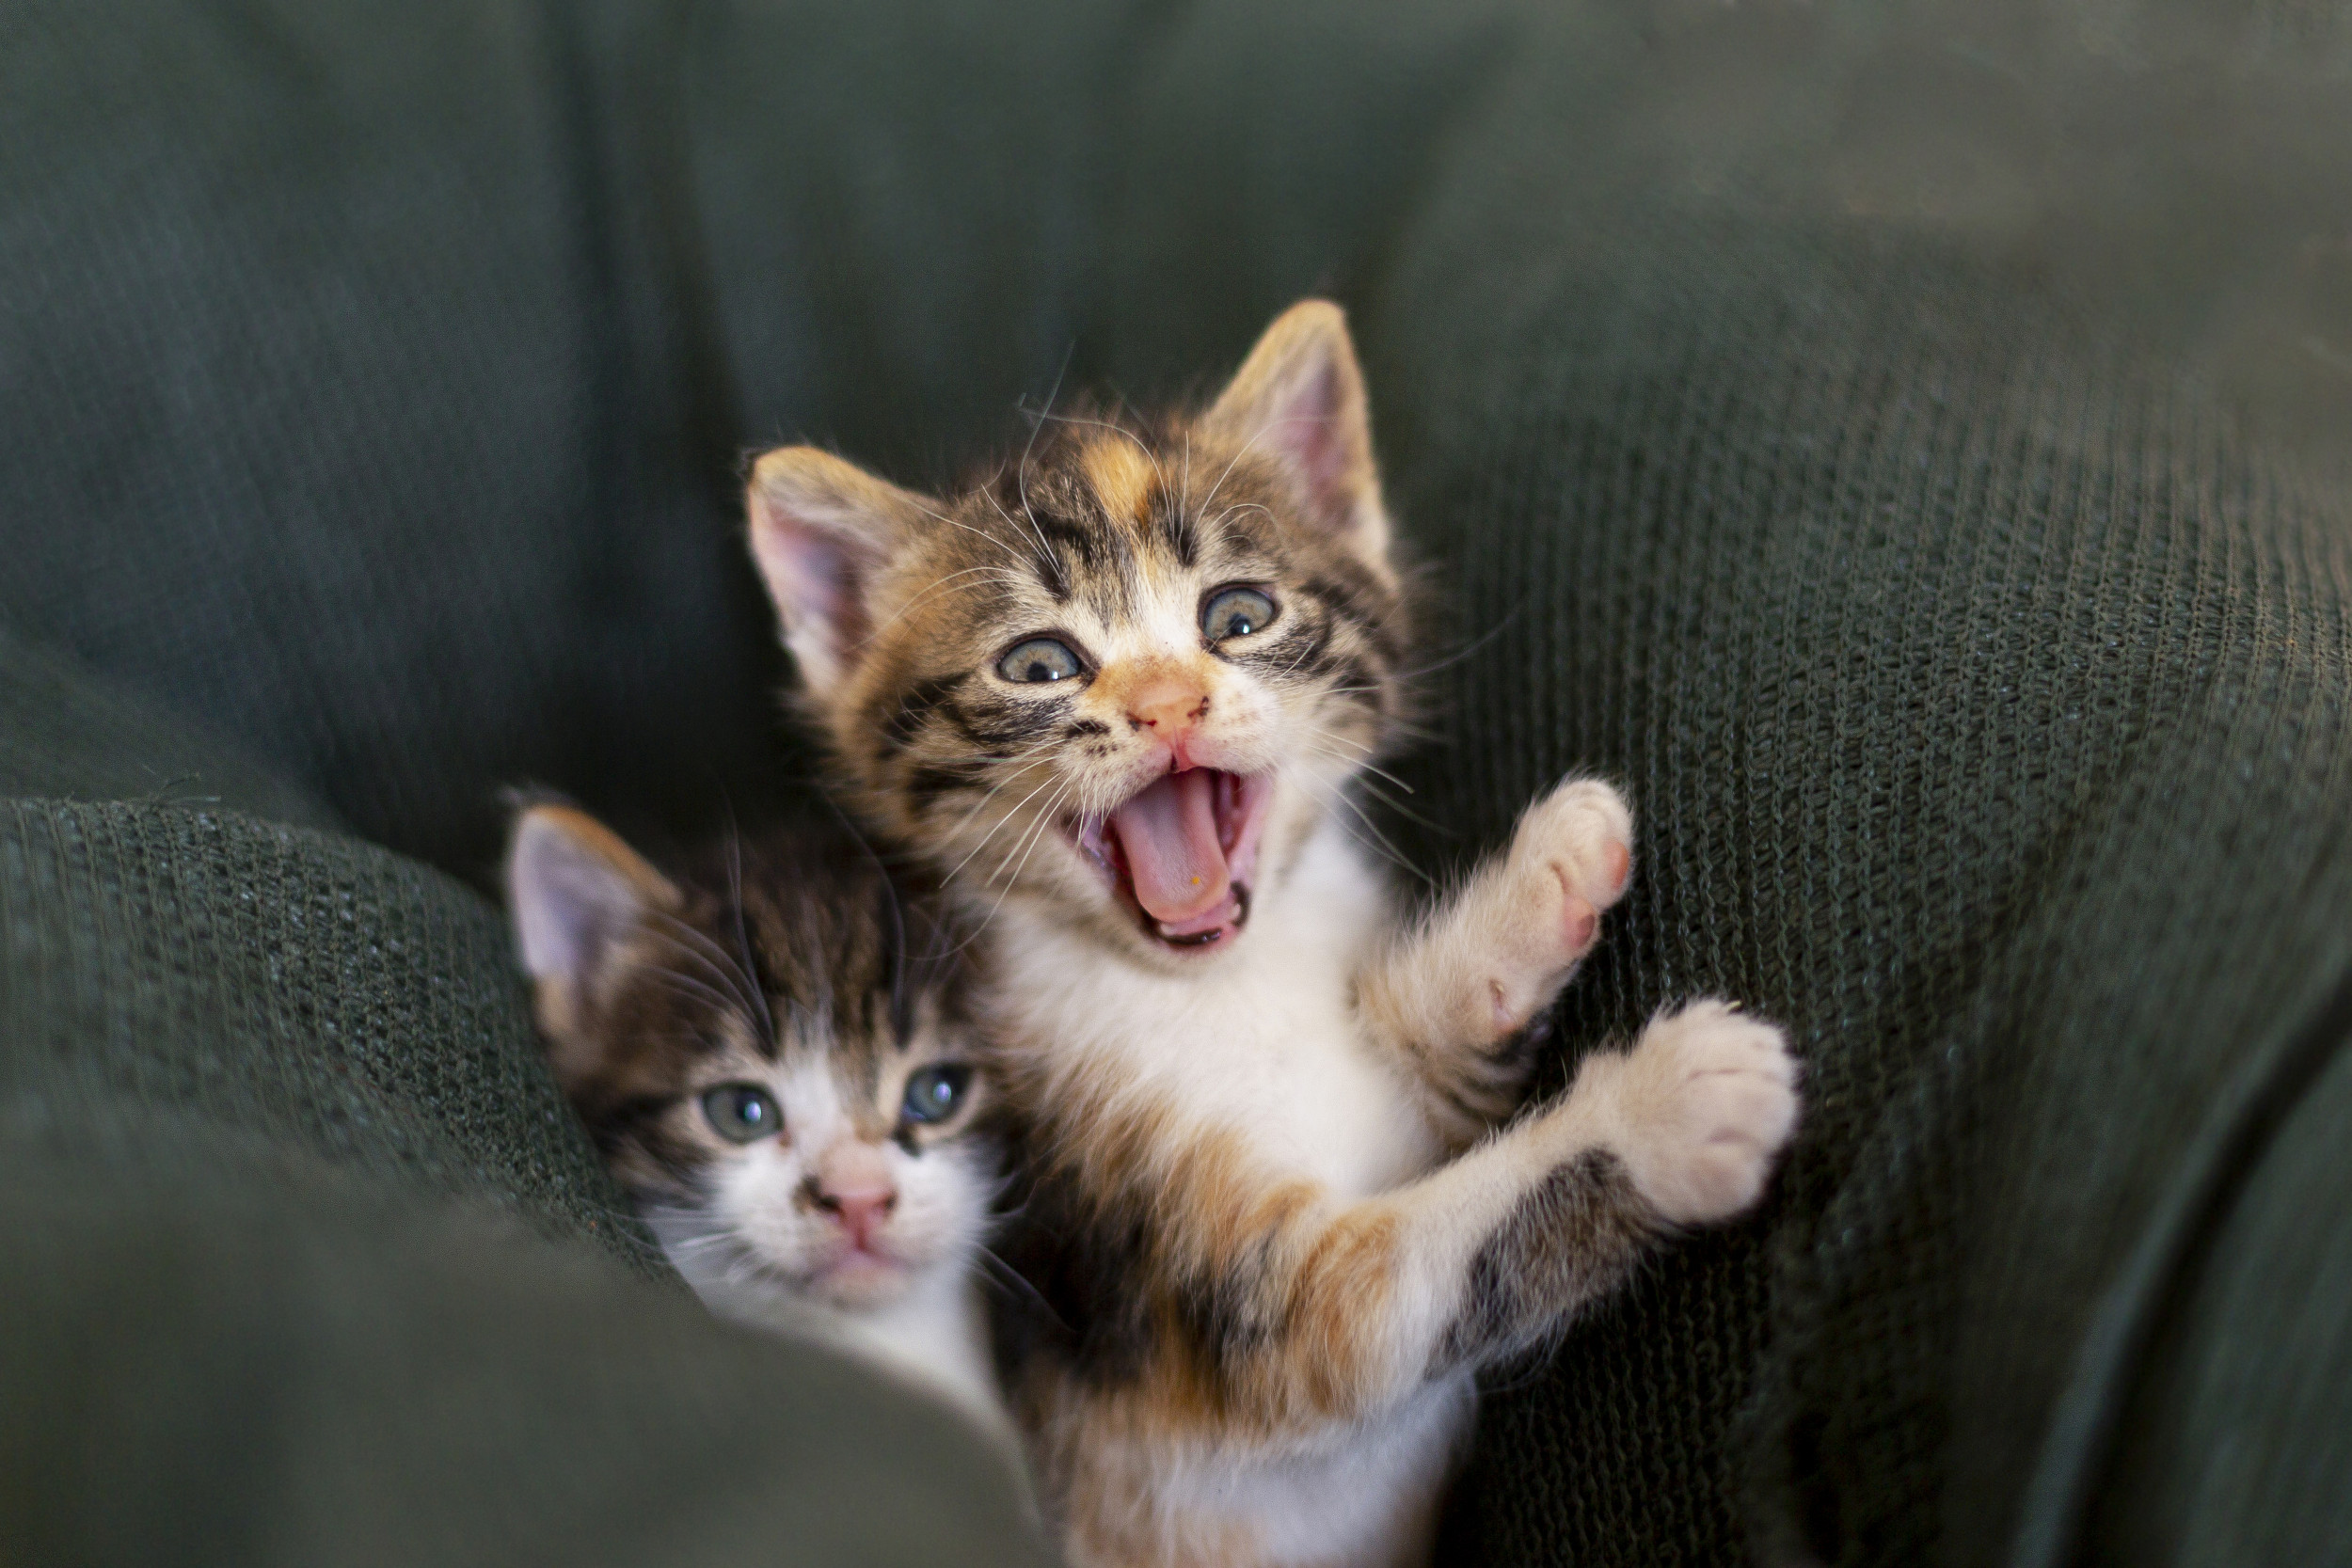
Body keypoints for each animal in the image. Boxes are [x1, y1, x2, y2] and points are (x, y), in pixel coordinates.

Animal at [743, 300, 1788, 1560]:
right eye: (1038, 662)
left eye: (1237, 616)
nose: (1168, 705)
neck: (1229, 982)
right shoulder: (1225, 1293)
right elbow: (1417, 1268)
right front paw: (1670, 1105)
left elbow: (1426, 1045)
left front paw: (1544, 879)